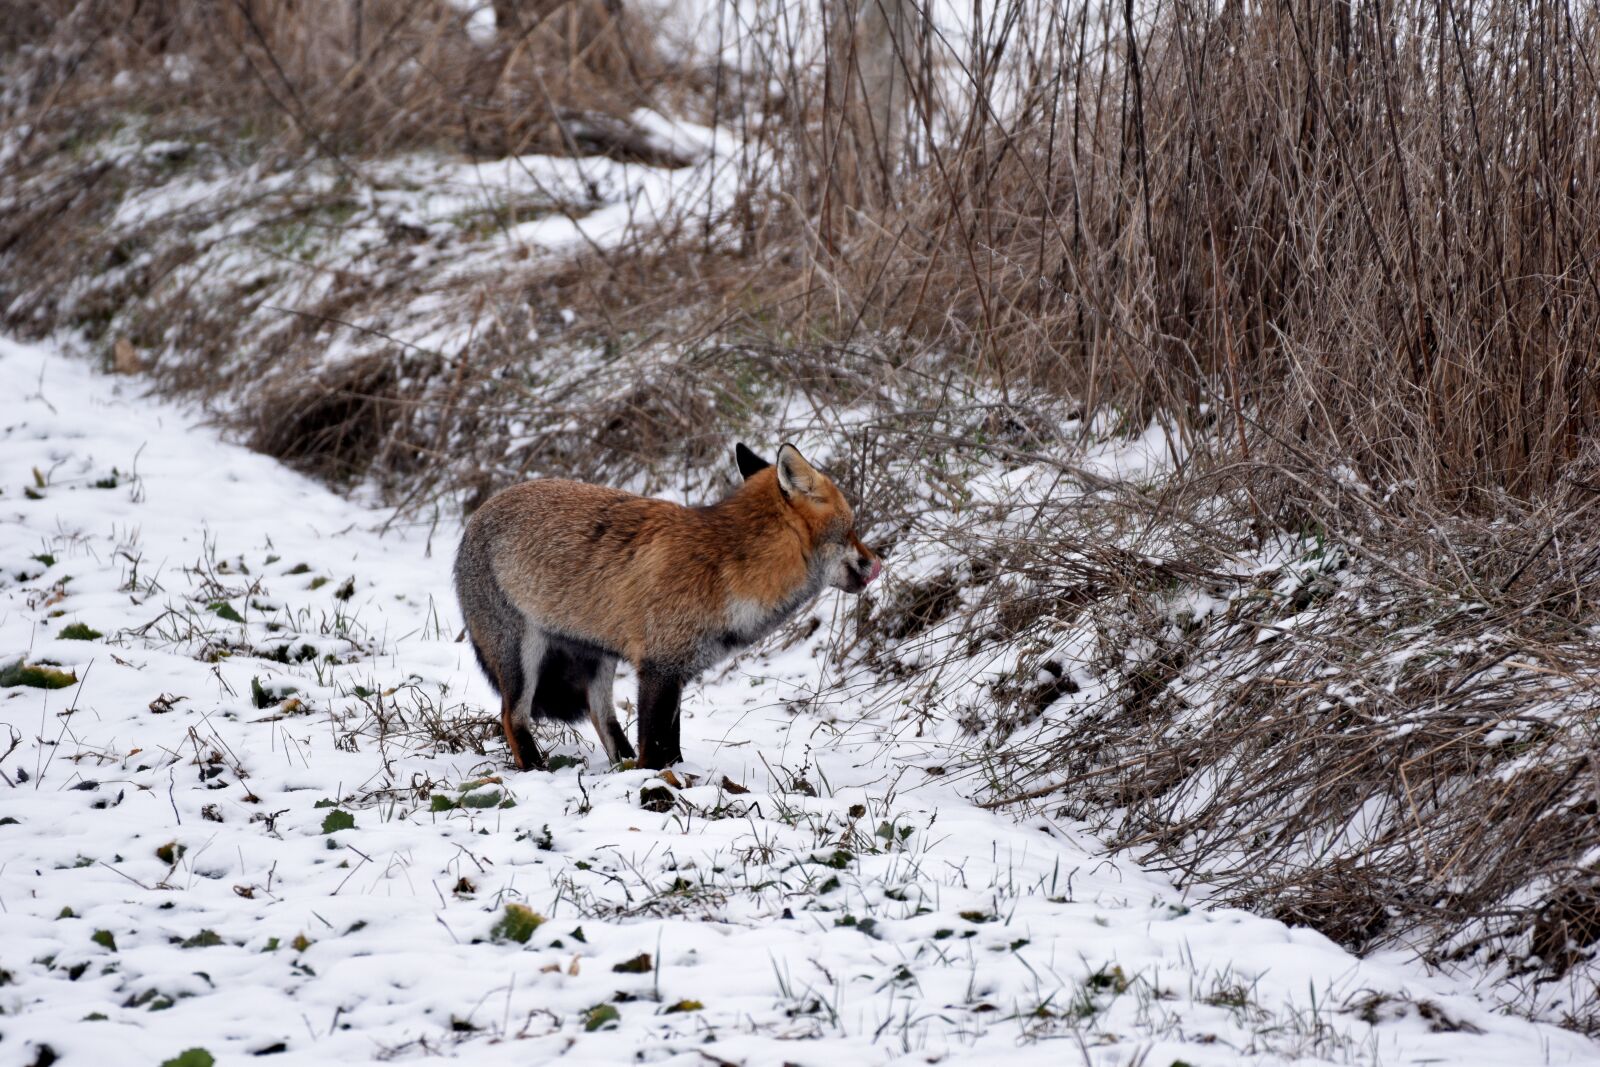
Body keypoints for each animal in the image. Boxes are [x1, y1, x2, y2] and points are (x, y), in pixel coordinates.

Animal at [453, 442, 881, 770]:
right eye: (851, 530)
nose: (877, 563)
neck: (729, 567)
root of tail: (475, 517)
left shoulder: (677, 672)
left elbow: (670, 749)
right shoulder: (658, 669)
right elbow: (658, 749)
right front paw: (658, 792)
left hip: (599, 656)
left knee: (601, 716)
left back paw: (620, 764)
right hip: (521, 654)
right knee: (512, 718)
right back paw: (536, 770)